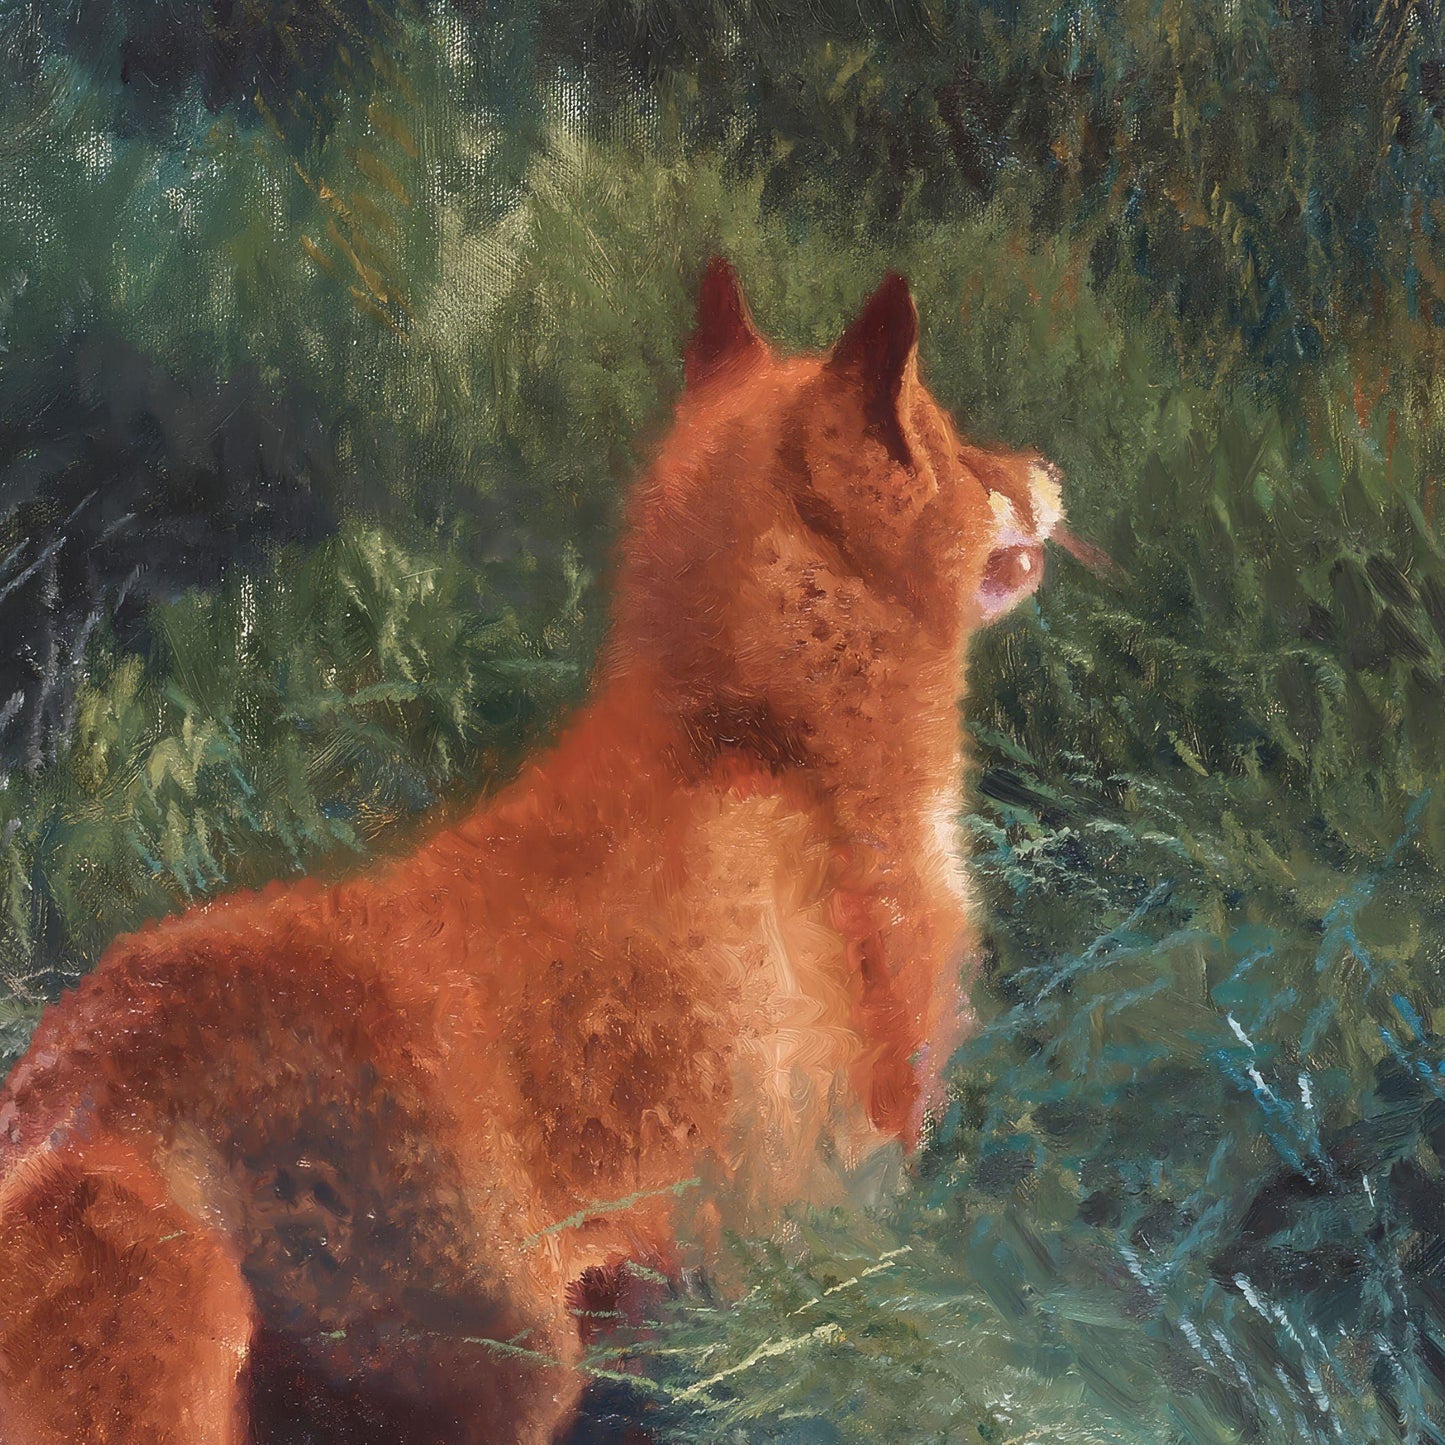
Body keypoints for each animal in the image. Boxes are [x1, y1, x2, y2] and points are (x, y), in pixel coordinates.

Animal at [0, 259, 1062, 1444]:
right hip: (508, 1371)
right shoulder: (801, 1221)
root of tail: (104, 1079)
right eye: (962, 454)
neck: (752, 750)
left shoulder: (667, 1275)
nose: (1049, 469)